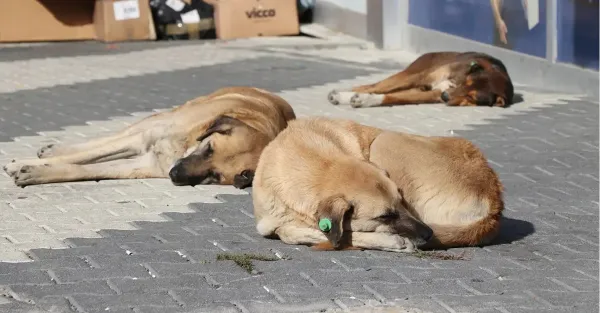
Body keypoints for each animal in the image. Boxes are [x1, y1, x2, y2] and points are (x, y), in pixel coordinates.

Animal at [4, 85, 296, 188]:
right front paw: (24, 164)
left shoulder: (143, 164)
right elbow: (86, 156)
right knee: (106, 140)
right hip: (154, 122)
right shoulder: (146, 139)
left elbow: (81, 169)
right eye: (208, 148)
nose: (174, 175)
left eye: (215, 175)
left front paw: (38, 172)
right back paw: (53, 150)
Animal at [251, 117, 504, 251]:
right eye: (385, 216)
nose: (428, 233)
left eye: (402, 202)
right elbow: (290, 230)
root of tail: (494, 203)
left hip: (384, 140)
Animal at [326, 51, 512, 108]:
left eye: (471, 97)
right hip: (411, 74)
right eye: (465, 82)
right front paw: (352, 96)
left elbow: (393, 97)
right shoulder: (425, 78)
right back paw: (344, 94)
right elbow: (379, 89)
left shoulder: (431, 94)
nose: (445, 96)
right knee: (374, 85)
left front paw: (366, 101)